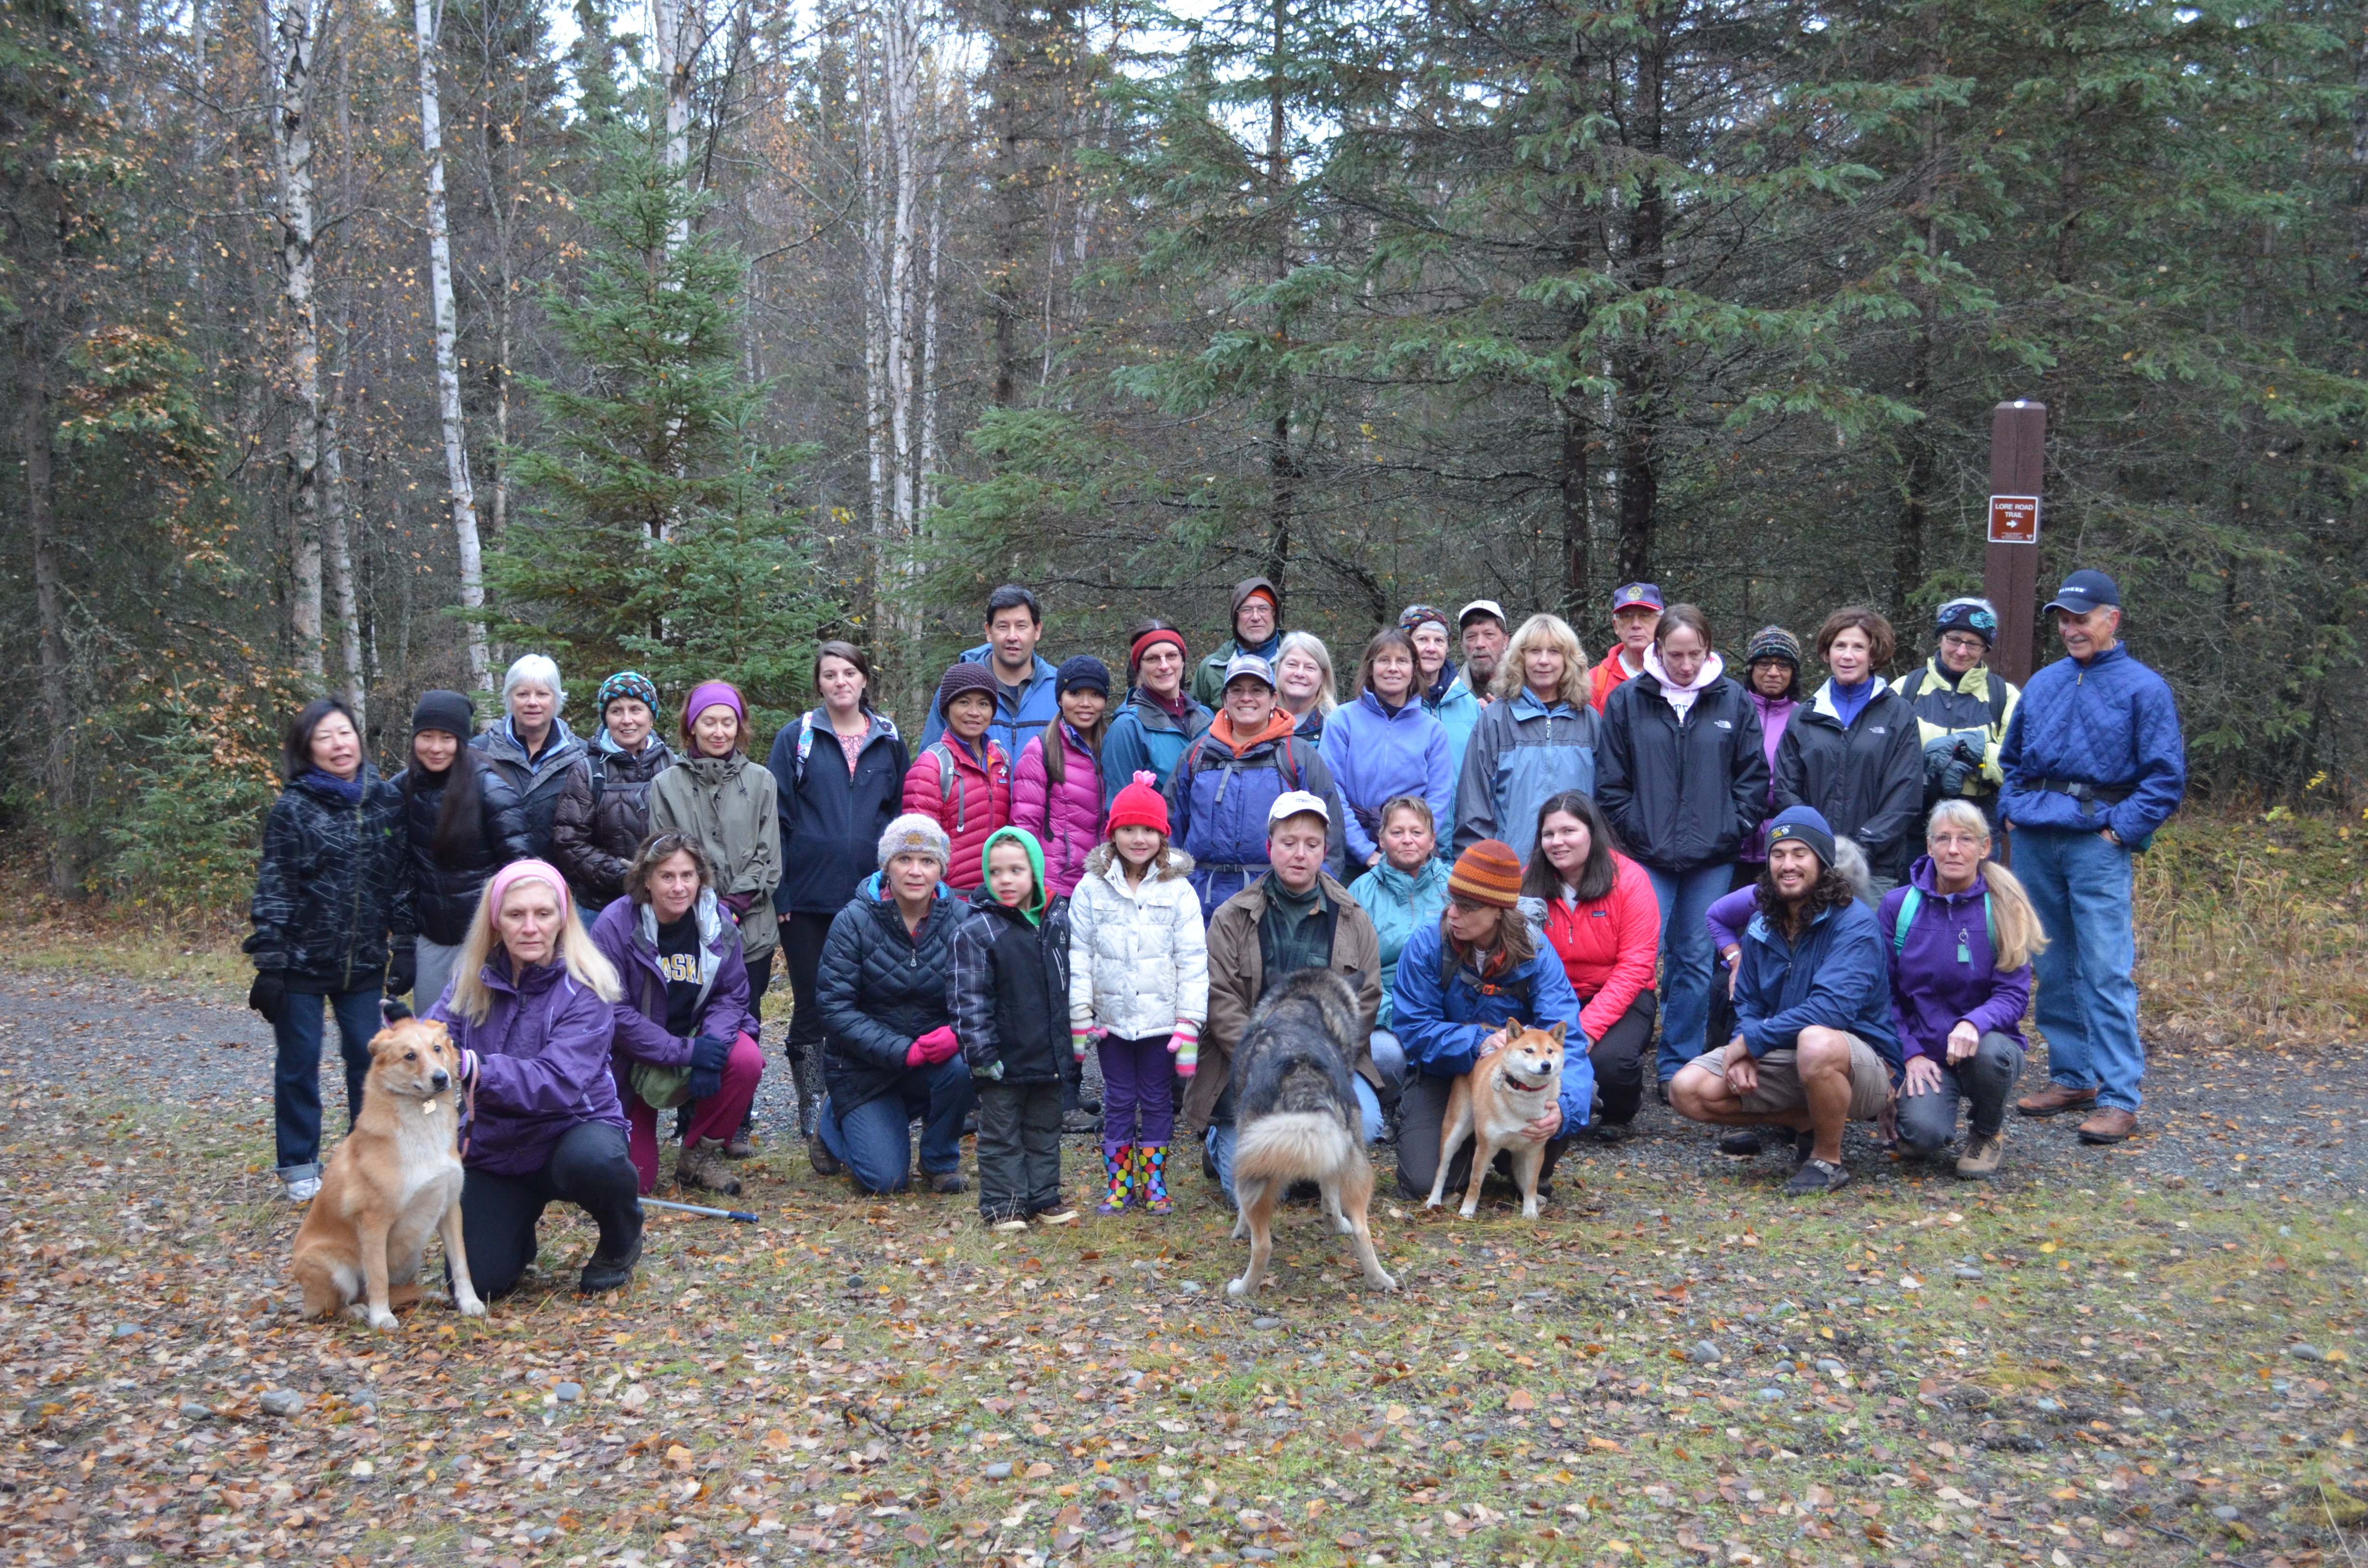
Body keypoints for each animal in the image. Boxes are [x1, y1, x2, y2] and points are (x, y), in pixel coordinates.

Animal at [290, 1018, 485, 1329]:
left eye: (437, 1048)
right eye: (410, 1056)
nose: (441, 1078)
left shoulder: (450, 1209)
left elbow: (461, 1264)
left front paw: (470, 1302)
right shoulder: (374, 1222)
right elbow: (378, 1276)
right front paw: (381, 1317)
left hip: (411, 1256)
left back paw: (428, 1295)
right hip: (333, 1268)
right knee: (331, 1308)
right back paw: (358, 1311)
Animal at [1224, 968, 1397, 1298]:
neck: (1304, 1000)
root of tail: (1304, 1076)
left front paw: (1239, 1230)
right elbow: (1330, 1197)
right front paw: (1335, 1224)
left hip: (1255, 1161)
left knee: (1262, 1244)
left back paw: (1243, 1288)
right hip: (1351, 1157)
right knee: (1362, 1230)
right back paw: (1378, 1279)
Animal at [1423, 1019, 1567, 1220]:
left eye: (1550, 1051)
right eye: (1529, 1050)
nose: (1546, 1065)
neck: (1525, 1096)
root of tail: (1484, 1027)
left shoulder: (1535, 1150)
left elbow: (1531, 1184)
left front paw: (1530, 1211)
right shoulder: (1486, 1147)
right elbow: (1475, 1183)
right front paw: (1467, 1210)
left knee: (1520, 1175)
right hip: (1455, 1131)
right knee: (1442, 1170)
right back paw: (1434, 1199)